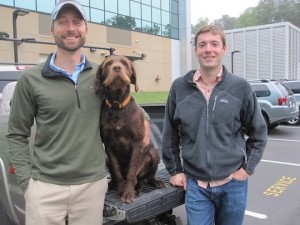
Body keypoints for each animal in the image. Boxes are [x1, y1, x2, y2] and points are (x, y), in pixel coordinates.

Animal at [94, 55, 164, 203]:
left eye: (125, 63)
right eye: (108, 64)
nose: (116, 67)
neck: (117, 106)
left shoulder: (137, 143)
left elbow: (132, 171)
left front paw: (128, 193)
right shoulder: (109, 146)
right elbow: (117, 172)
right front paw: (121, 190)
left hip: (154, 153)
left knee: (146, 177)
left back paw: (152, 182)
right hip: (107, 159)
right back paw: (111, 185)